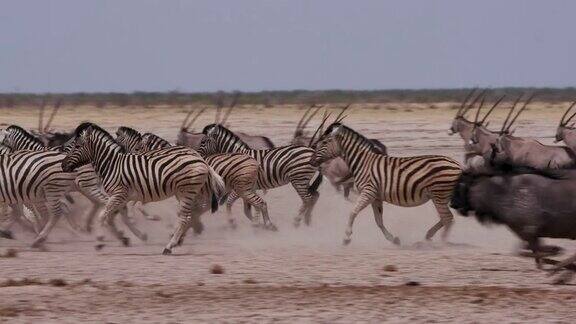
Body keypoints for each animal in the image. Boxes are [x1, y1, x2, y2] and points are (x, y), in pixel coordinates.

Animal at [1, 125, 148, 242]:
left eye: (3, 140)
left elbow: (32, 211)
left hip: (88, 186)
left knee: (107, 203)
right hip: (86, 188)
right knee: (103, 204)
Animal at [62, 123, 225, 254]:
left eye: (77, 146)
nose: (63, 166)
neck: (112, 165)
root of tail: (199, 157)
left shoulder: (118, 194)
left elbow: (103, 216)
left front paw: (100, 241)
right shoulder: (122, 197)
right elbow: (117, 217)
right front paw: (131, 236)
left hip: (187, 191)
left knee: (185, 217)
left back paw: (169, 246)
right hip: (185, 192)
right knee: (192, 214)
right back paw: (181, 238)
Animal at [308, 123, 462, 244]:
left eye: (324, 143)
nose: (311, 161)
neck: (363, 163)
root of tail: (457, 164)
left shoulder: (368, 192)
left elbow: (352, 212)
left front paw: (346, 238)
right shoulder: (376, 197)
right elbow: (378, 221)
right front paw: (393, 239)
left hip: (439, 194)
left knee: (448, 218)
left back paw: (441, 243)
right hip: (439, 196)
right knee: (446, 218)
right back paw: (430, 236)